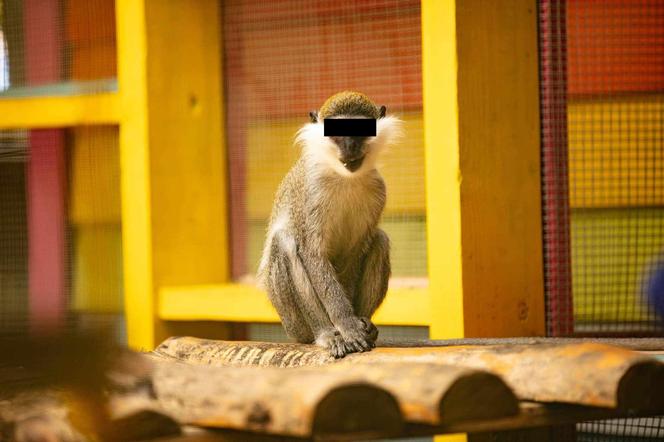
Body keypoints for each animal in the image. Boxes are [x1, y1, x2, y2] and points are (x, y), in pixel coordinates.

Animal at [256, 91, 402, 358]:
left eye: (361, 132)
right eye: (337, 133)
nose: (350, 148)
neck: (344, 177)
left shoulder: (379, 190)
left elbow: (355, 253)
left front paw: (356, 323)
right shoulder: (311, 191)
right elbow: (312, 253)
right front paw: (346, 325)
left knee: (379, 240)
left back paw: (366, 321)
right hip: (293, 322)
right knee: (285, 243)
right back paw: (326, 333)